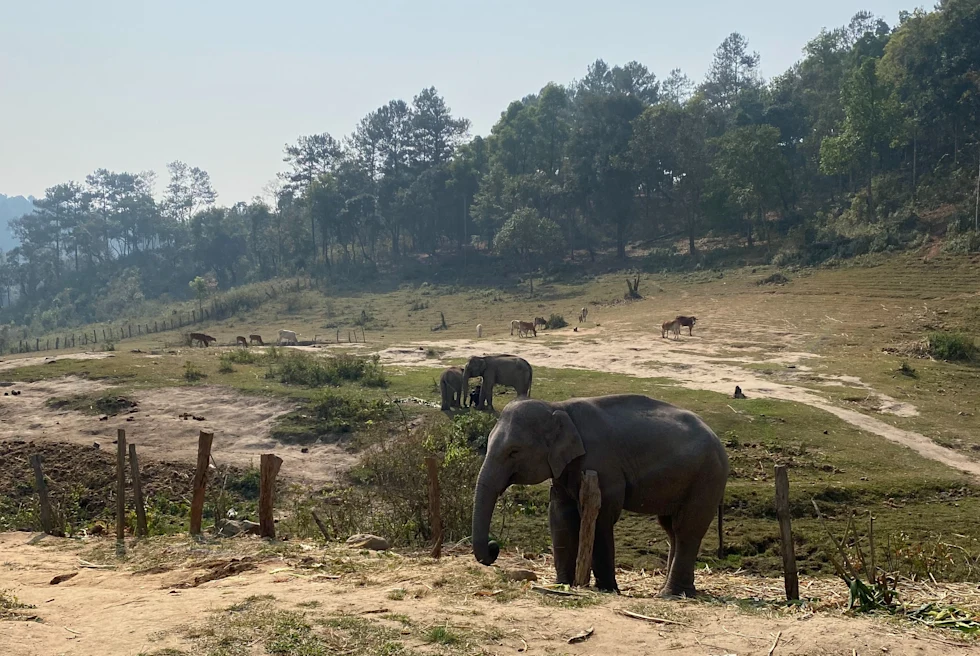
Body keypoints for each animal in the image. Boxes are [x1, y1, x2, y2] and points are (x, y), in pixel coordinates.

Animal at [471, 395, 729, 598]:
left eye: (514, 451)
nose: (494, 548)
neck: (558, 407)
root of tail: (719, 442)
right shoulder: (565, 468)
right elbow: (560, 514)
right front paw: (562, 584)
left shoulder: (602, 466)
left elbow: (602, 517)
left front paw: (607, 589)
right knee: (671, 528)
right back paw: (672, 591)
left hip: (707, 478)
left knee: (687, 529)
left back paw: (670, 594)